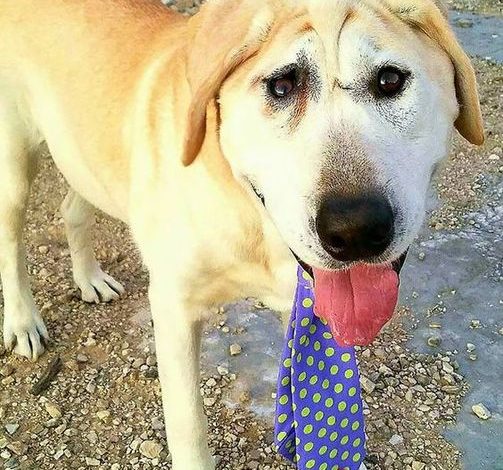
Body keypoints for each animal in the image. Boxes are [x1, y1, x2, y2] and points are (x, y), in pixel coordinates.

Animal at [0, 0, 484, 468]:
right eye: (281, 86)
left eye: (389, 80)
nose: (355, 230)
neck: (246, 211)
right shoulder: (174, 308)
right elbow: (188, 427)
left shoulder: (297, 305)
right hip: (16, 171)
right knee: (12, 244)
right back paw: (23, 322)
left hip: (83, 160)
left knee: (71, 209)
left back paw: (89, 278)